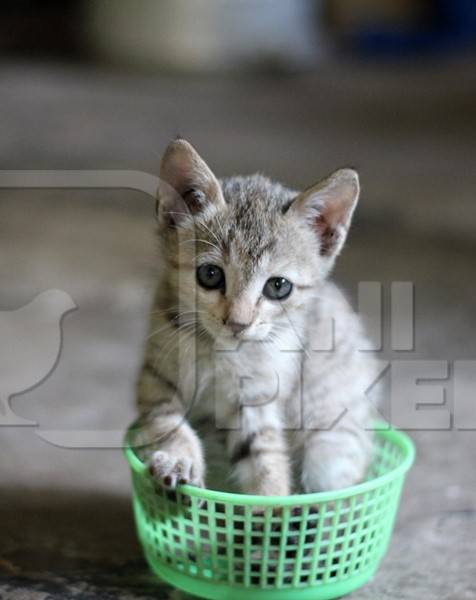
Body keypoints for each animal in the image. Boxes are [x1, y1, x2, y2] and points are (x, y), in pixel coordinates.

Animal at [136, 138, 378, 494]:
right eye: (210, 274)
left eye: (278, 286)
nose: (238, 323)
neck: (218, 351)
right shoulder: (156, 377)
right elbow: (166, 421)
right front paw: (180, 459)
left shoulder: (256, 398)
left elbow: (265, 458)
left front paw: (272, 503)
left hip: (333, 443)